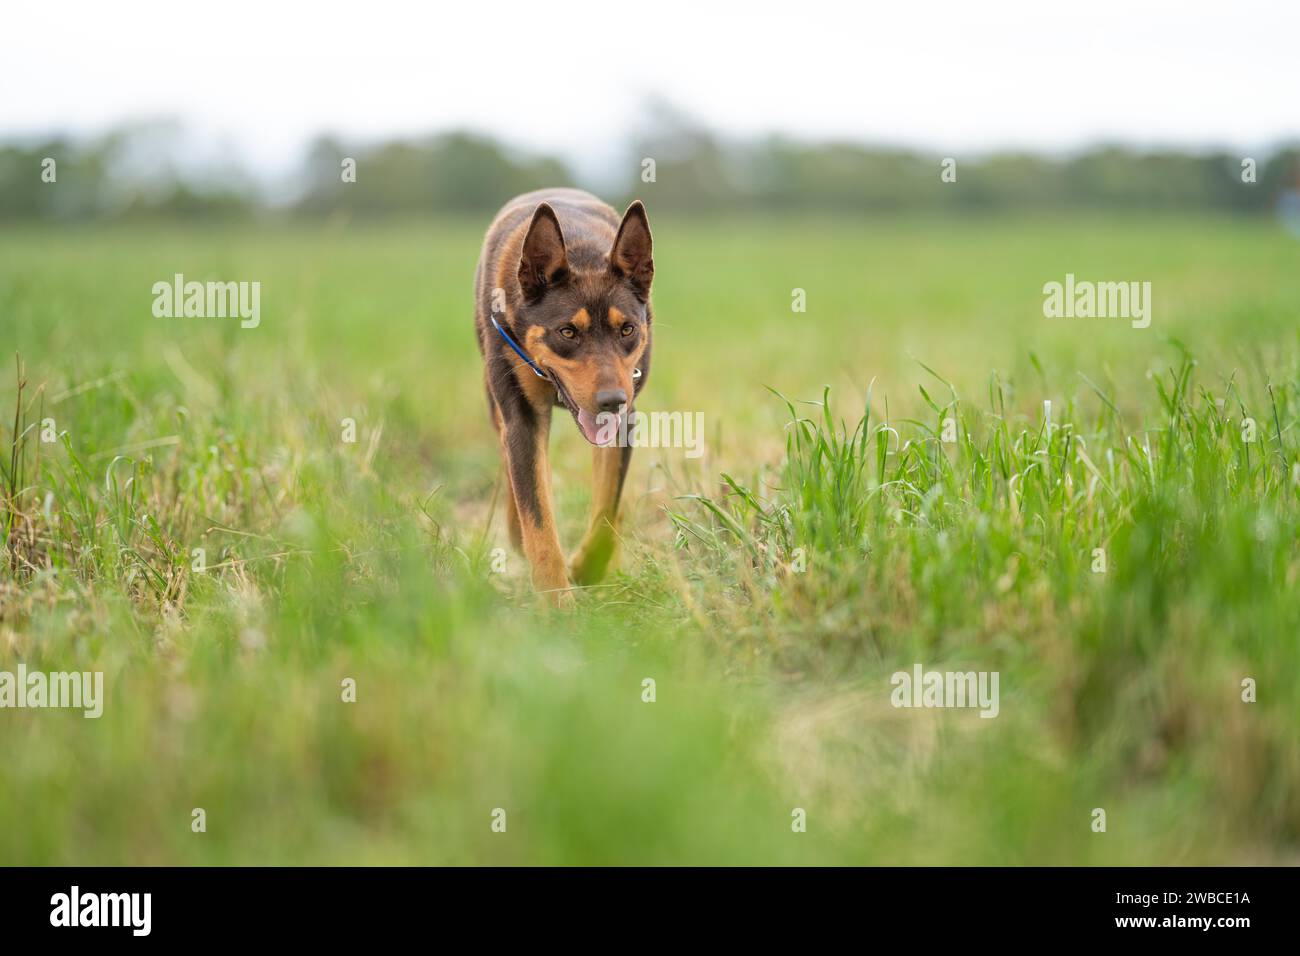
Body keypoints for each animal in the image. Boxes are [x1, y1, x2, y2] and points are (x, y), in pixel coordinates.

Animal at [475, 188, 655, 606]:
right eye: (568, 332)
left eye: (627, 329)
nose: (612, 399)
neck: (580, 250)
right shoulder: (521, 419)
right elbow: (538, 519)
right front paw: (558, 604)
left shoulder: (625, 423)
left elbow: (607, 509)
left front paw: (589, 568)